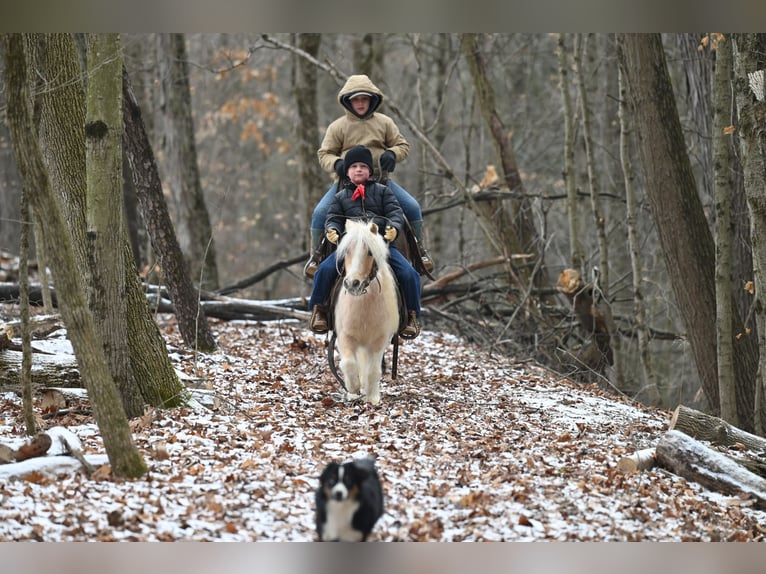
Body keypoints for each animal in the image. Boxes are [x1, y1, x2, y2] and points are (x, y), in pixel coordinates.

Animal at [332, 219, 400, 404]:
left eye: (370, 252)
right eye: (347, 250)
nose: (352, 284)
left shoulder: (379, 341)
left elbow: (374, 370)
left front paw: (372, 398)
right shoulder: (344, 337)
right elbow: (348, 363)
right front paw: (353, 389)